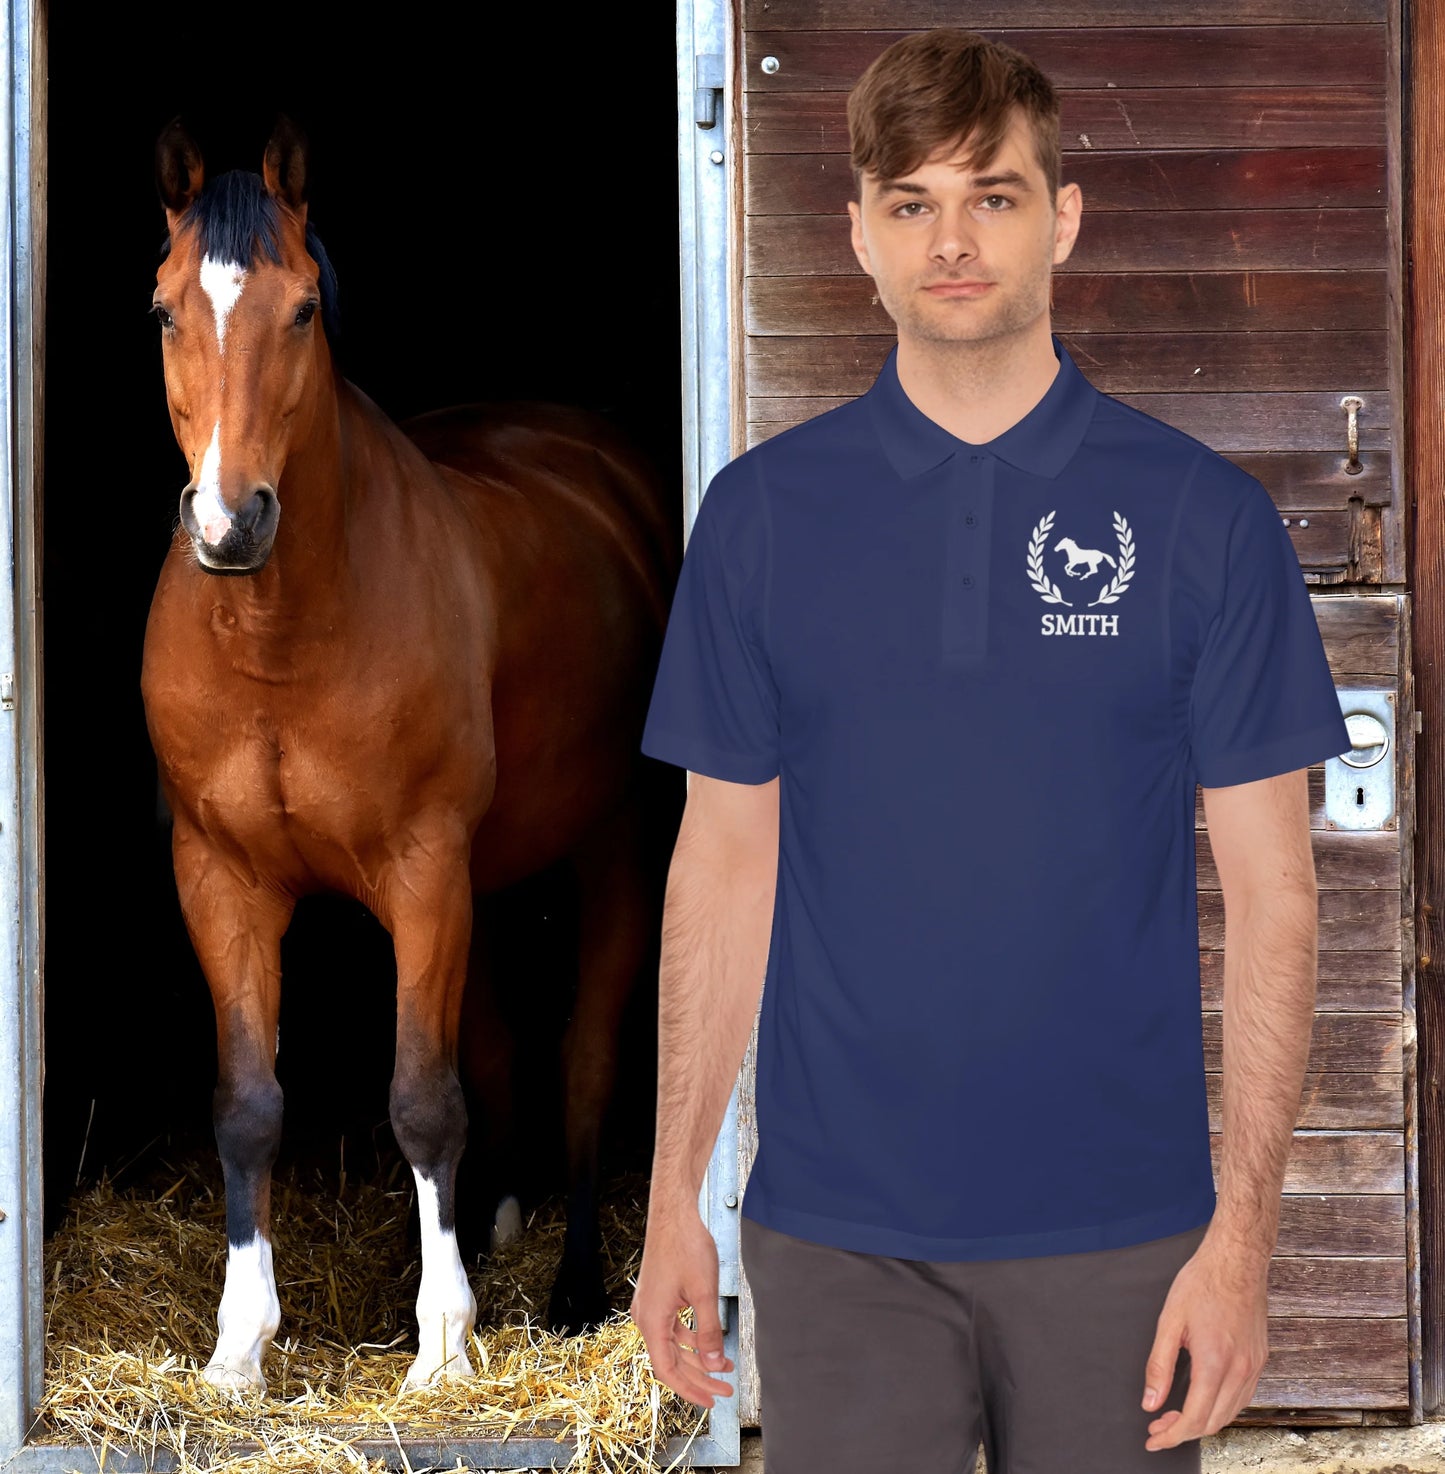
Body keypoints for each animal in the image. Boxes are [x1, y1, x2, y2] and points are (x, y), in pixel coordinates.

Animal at [139, 116, 677, 1393]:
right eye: (164, 308)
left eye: (300, 310)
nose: (229, 523)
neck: (278, 638)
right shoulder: (221, 878)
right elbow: (248, 1102)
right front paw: (239, 1343)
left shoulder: (423, 868)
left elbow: (425, 1099)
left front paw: (442, 1343)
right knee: (499, 1049)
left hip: (611, 849)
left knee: (583, 1059)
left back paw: (576, 1287)